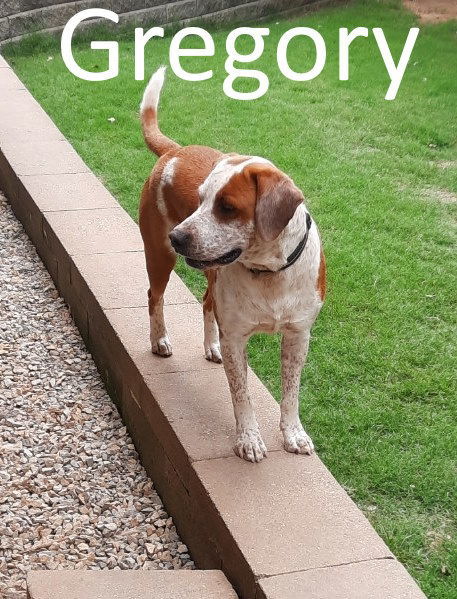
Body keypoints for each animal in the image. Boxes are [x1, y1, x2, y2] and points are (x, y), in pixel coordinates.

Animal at [138, 68, 324, 466]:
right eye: (199, 199)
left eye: (226, 207)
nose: (178, 236)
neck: (271, 275)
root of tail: (175, 150)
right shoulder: (237, 335)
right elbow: (242, 393)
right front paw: (249, 439)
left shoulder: (298, 334)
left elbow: (291, 391)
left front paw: (293, 433)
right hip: (159, 257)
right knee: (154, 296)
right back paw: (159, 340)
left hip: (208, 271)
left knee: (208, 302)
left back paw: (211, 346)